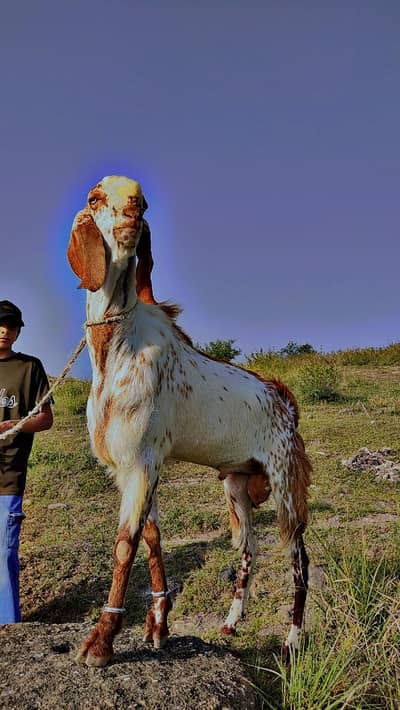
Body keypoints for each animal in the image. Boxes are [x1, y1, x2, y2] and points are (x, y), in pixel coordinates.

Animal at [67, 175, 311, 667]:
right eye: (95, 198)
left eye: (143, 201)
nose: (132, 213)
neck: (116, 345)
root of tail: (284, 398)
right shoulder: (136, 468)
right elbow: (152, 538)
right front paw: (157, 624)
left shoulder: (142, 461)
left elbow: (124, 544)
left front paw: (101, 641)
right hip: (236, 483)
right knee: (249, 548)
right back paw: (232, 622)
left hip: (285, 483)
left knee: (298, 558)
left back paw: (293, 640)